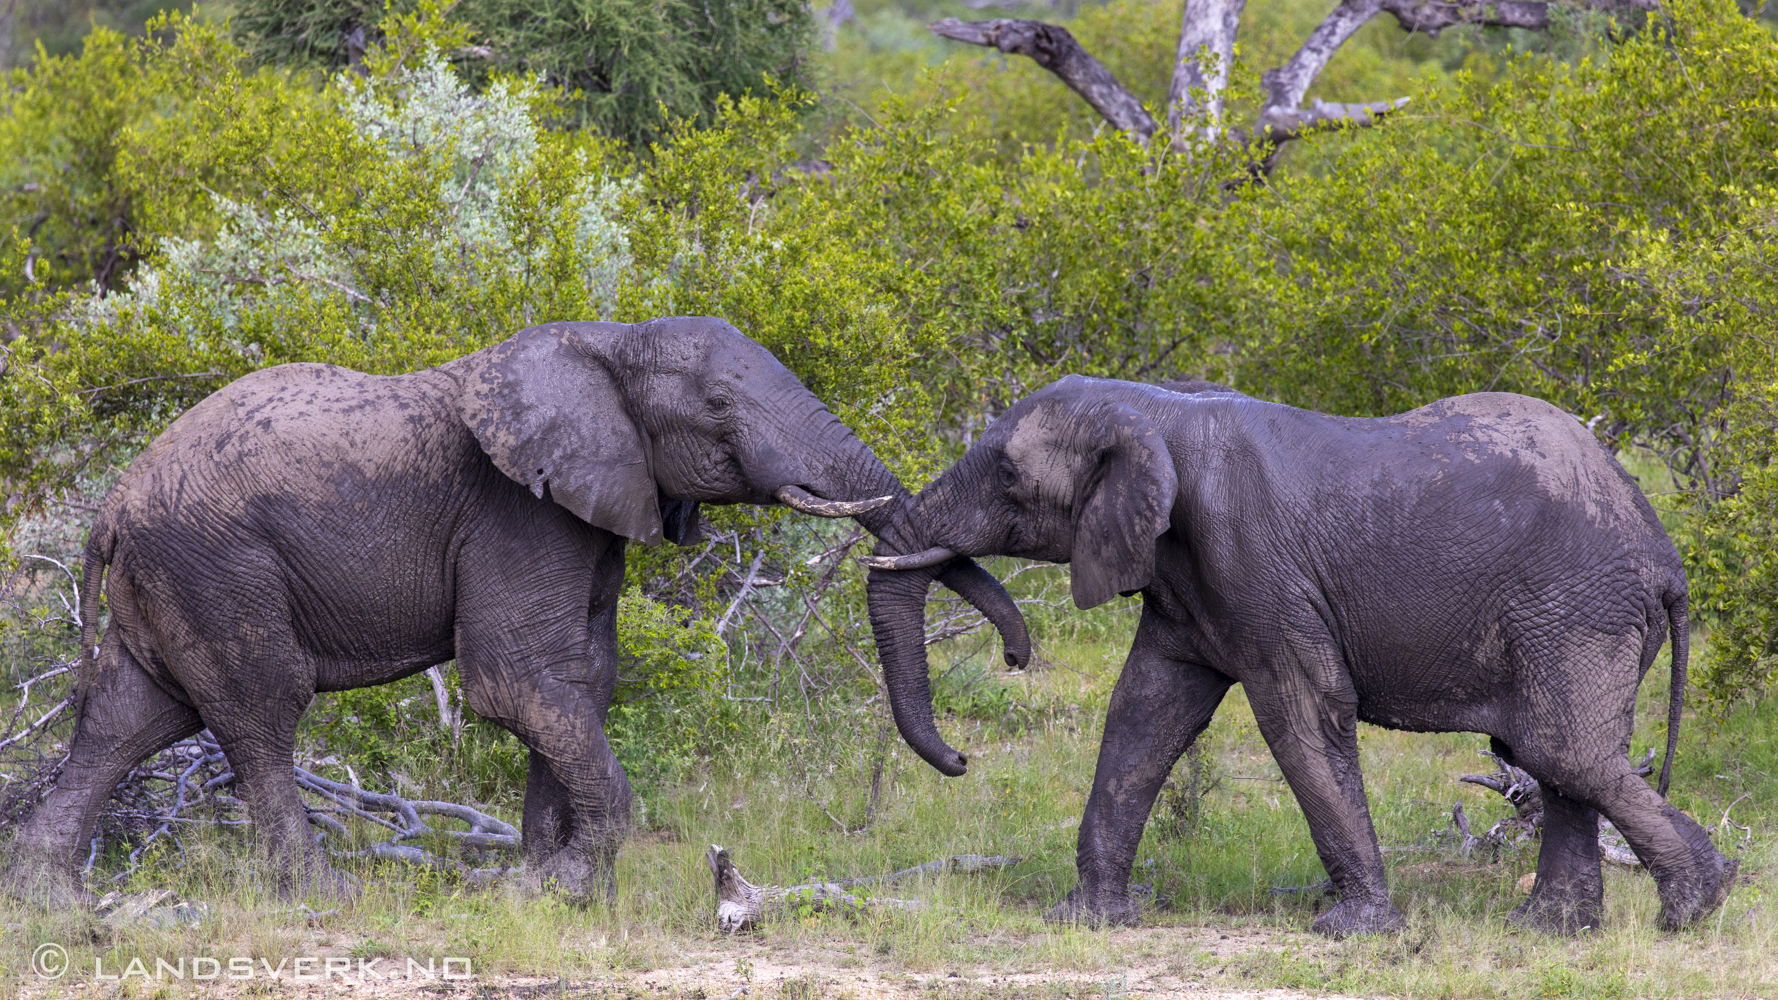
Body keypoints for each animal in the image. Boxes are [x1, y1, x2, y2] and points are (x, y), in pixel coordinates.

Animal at [3, 316, 1031, 903]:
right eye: (716, 408)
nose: (962, 759)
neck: (605, 341)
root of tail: (109, 508)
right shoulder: (514, 510)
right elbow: (516, 682)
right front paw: (573, 890)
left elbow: (578, 681)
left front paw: (538, 886)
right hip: (219, 568)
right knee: (259, 709)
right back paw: (327, 900)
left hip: (172, 580)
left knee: (131, 717)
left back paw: (50, 903)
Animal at [867, 371, 1742, 932]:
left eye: (1009, 478)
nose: (961, 761)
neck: (1157, 409)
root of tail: (1666, 557)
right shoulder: (1188, 575)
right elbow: (1146, 712)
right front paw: (1084, 921)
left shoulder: (1251, 558)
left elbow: (1301, 714)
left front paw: (1353, 932)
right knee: (1554, 756)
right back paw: (1551, 931)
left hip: (1574, 611)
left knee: (1562, 751)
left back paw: (1693, 909)